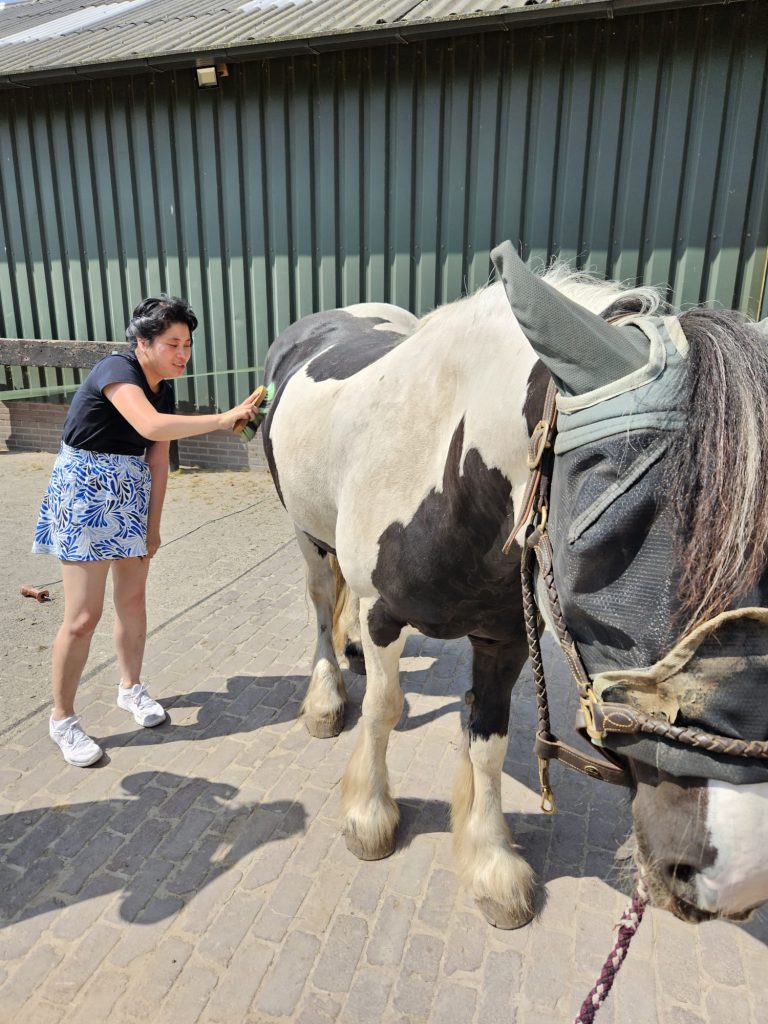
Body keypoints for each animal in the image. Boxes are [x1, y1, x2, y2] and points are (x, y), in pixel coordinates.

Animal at [258, 244, 768, 929]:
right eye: (603, 534)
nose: (735, 872)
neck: (450, 470)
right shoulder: (385, 612)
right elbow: (383, 709)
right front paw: (369, 817)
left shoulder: (506, 639)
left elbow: (489, 742)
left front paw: (490, 862)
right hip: (305, 533)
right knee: (320, 605)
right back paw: (326, 697)